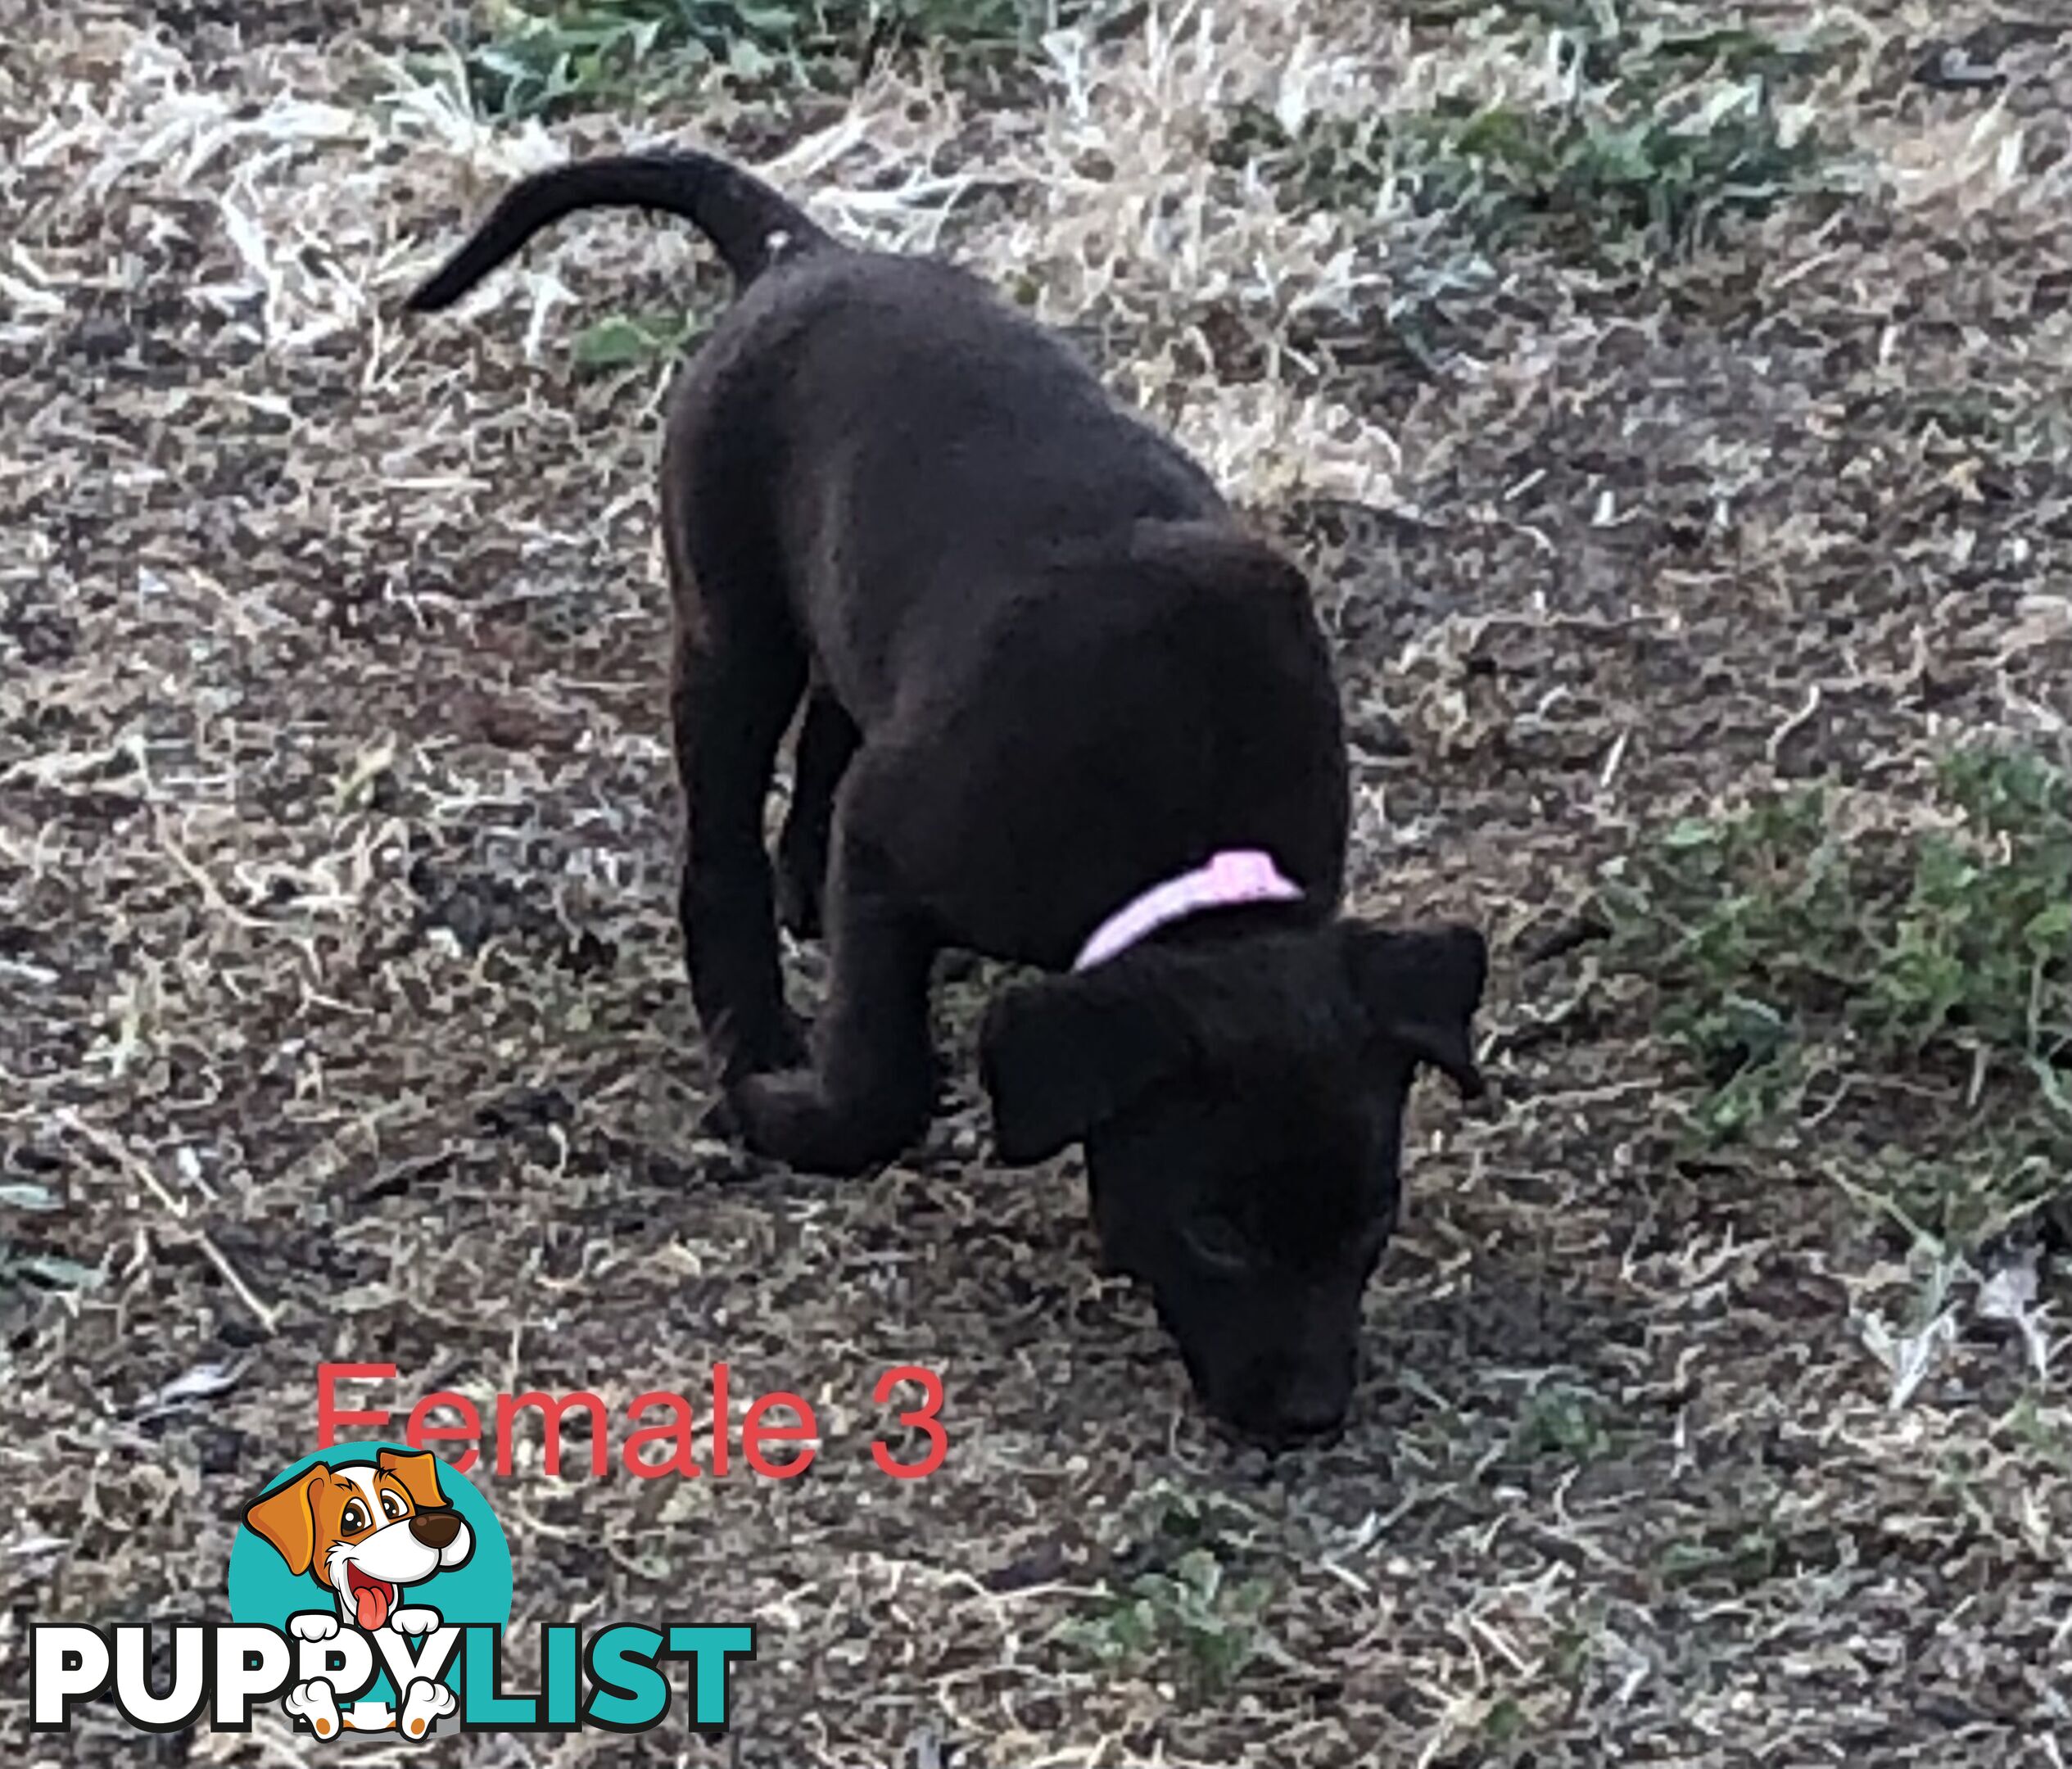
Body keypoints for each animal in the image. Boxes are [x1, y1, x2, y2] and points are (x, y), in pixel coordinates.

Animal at [404, 152, 1491, 1450]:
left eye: (1372, 1217)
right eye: (1215, 1232)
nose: (1308, 1417)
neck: (1188, 849)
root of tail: (801, 254)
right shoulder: (893, 853)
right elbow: (882, 1080)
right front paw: (790, 1112)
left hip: (843, 618)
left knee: (829, 730)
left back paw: (796, 896)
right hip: (729, 627)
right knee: (719, 843)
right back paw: (751, 1026)